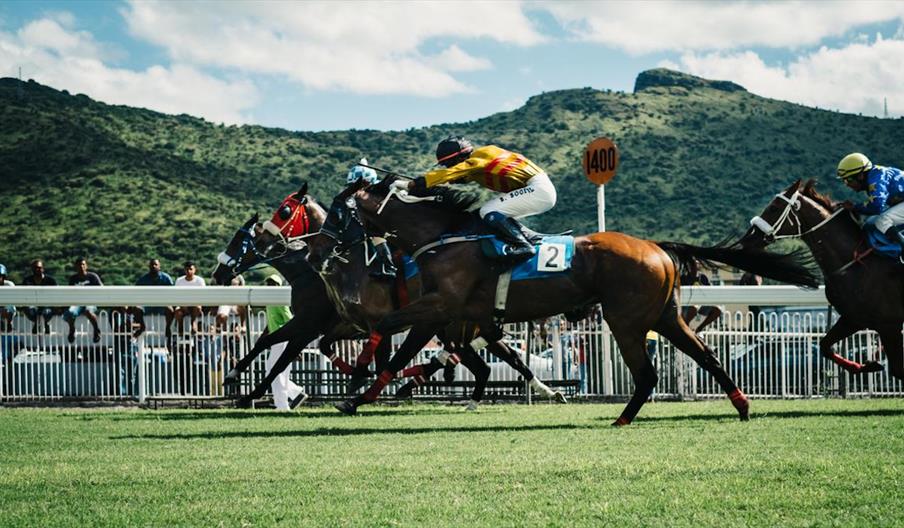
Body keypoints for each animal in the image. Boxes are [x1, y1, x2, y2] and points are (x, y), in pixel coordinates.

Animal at [212, 186, 564, 409]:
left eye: (285, 211)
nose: (219, 273)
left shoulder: (315, 322)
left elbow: (278, 353)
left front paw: (245, 388)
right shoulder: (340, 325)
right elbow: (293, 347)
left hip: (448, 323)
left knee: (493, 359)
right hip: (459, 324)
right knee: (497, 359)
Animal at [306, 176, 822, 423]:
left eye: (338, 212)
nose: (322, 249)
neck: (445, 235)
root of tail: (656, 248)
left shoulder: (439, 308)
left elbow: (383, 333)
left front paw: (353, 383)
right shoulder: (451, 316)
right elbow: (402, 351)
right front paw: (356, 395)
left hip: (625, 319)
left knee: (648, 373)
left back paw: (623, 419)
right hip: (666, 316)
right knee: (706, 356)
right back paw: (742, 405)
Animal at [738, 178, 900, 379]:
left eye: (774, 208)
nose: (748, 237)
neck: (858, 263)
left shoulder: (889, 324)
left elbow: (898, 369)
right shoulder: (853, 318)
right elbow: (824, 346)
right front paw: (865, 366)